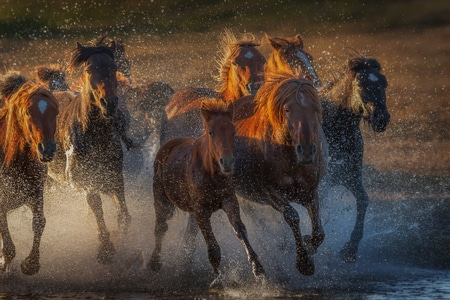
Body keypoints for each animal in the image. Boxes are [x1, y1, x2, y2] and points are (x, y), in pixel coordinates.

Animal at [0, 72, 59, 274]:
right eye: (27, 112)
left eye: (55, 112)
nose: (47, 148)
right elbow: (9, 247)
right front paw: (5, 264)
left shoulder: (35, 191)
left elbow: (39, 222)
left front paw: (31, 263)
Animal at [48, 38, 131, 264]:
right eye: (89, 69)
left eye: (114, 68)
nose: (109, 103)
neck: (96, 135)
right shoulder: (84, 181)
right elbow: (97, 208)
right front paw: (106, 248)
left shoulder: (115, 177)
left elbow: (123, 213)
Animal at [149, 98, 266, 282]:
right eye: (211, 132)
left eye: (233, 132)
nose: (227, 162)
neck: (210, 173)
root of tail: (166, 147)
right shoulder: (201, 210)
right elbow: (212, 245)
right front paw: (219, 278)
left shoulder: (229, 201)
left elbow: (240, 230)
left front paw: (258, 268)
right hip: (162, 200)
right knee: (160, 227)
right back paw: (154, 262)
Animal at [320, 55, 390, 262]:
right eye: (360, 84)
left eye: (384, 83)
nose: (381, 118)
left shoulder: (349, 175)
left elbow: (363, 200)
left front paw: (350, 248)